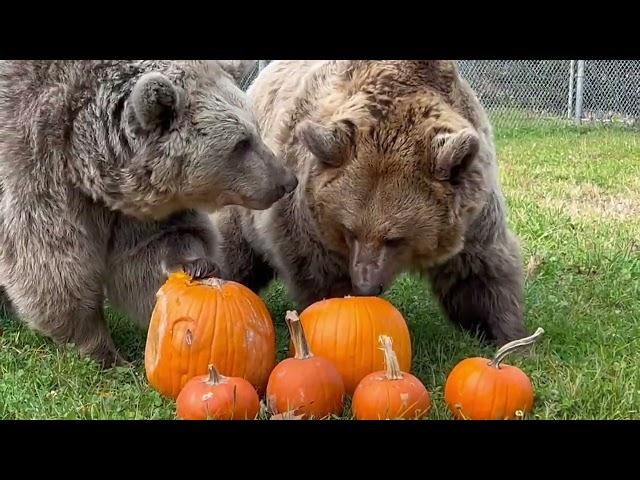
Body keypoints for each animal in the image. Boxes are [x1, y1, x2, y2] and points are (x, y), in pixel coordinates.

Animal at [0, 60, 298, 368]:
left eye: (256, 129)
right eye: (241, 143)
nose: (287, 181)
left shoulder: (128, 205)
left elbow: (154, 242)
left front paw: (196, 263)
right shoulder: (39, 169)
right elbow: (53, 266)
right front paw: (103, 352)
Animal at [212, 60, 528, 344]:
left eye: (395, 238)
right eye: (349, 230)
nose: (365, 285)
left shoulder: (473, 213)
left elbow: (480, 270)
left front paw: (506, 336)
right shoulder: (306, 215)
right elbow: (318, 270)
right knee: (235, 248)